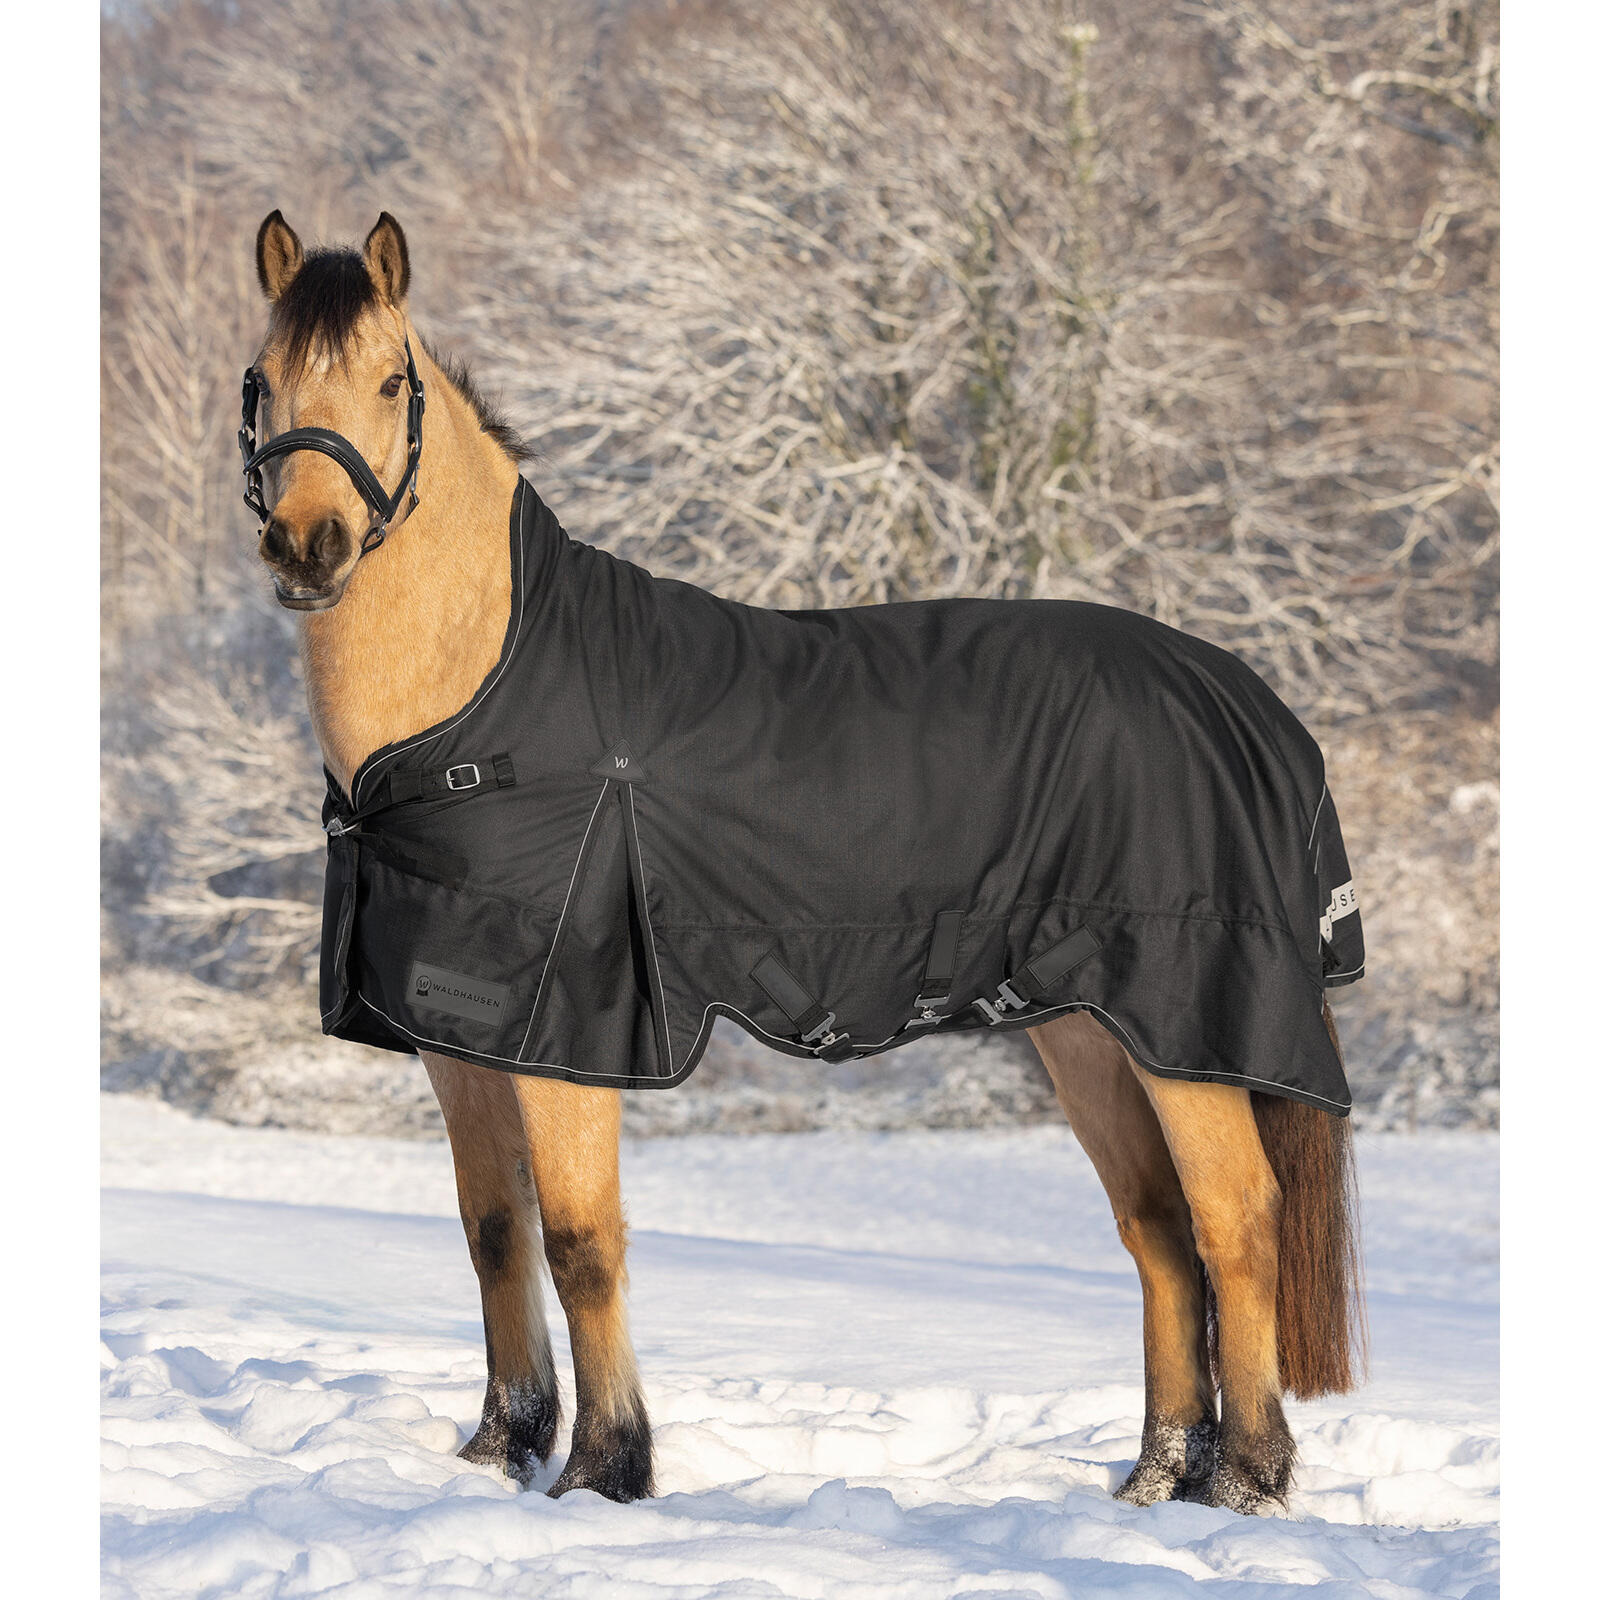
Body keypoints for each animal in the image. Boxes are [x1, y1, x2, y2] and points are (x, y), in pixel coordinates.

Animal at [239, 209, 1363, 1514]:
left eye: (389, 379)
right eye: (262, 380)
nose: (307, 547)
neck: (482, 704)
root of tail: (1247, 699)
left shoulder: (570, 1032)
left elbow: (579, 1239)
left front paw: (605, 1468)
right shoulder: (462, 1035)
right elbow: (494, 1232)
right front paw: (500, 1448)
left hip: (1183, 1027)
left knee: (1237, 1220)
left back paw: (1244, 1482)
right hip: (1088, 1027)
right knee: (1158, 1230)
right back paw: (1155, 1476)